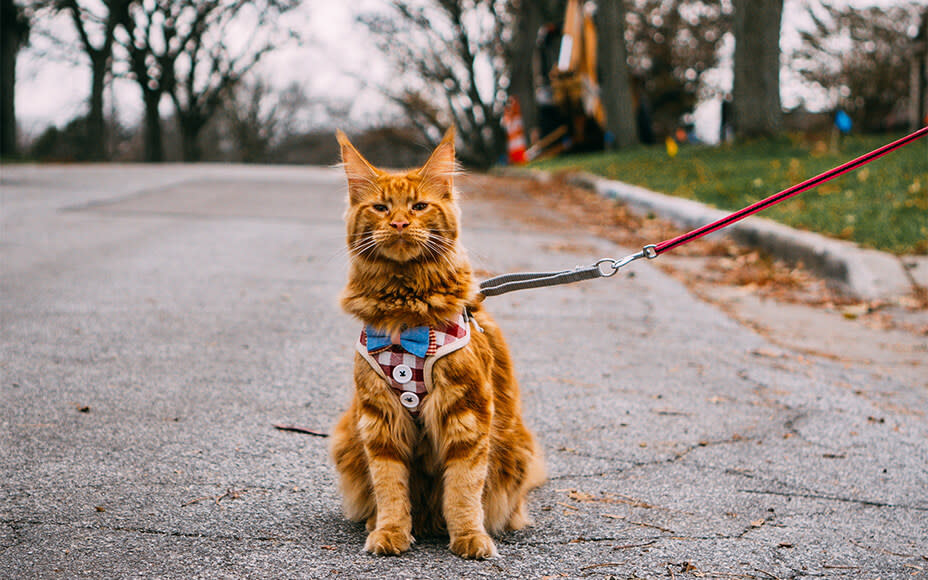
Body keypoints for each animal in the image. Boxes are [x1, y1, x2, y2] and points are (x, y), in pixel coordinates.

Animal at [330, 129, 544, 560]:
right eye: (380, 207)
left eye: (419, 206)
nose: (398, 222)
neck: (404, 312)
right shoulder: (379, 419)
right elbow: (390, 487)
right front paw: (390, 532)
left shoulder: (467, 413)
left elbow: (463, 489)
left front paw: (469, 538)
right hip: (349, 435)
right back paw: (377, 522)